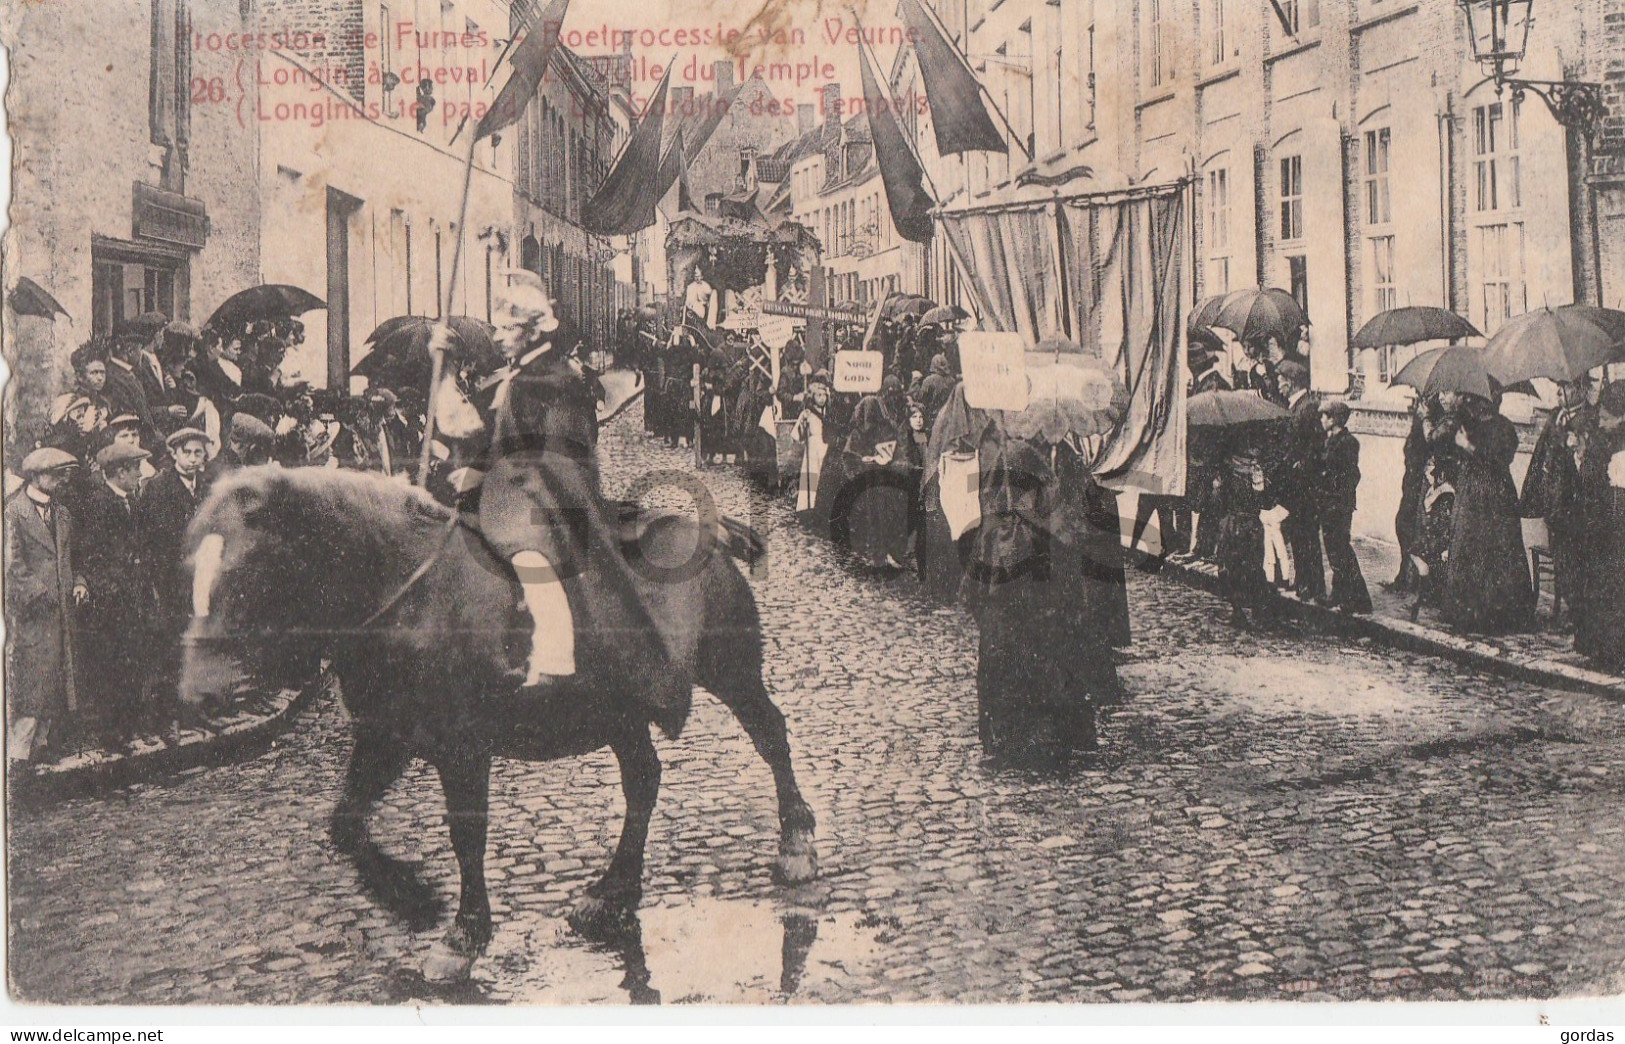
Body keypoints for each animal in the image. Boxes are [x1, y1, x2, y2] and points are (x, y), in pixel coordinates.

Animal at [179, 461, 819, 975]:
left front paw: (463, 935)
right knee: (643, 778)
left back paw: (795, 844)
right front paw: (411, 897)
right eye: (189, 568)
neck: (413, 597)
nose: (197, 696)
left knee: (770, 734)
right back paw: (613, 891)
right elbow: (345, 824)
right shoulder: (385, 737)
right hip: (620, 710)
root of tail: (707, 530)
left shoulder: (463, 749)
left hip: (729, 670)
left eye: (247, 567)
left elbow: (466, 835)